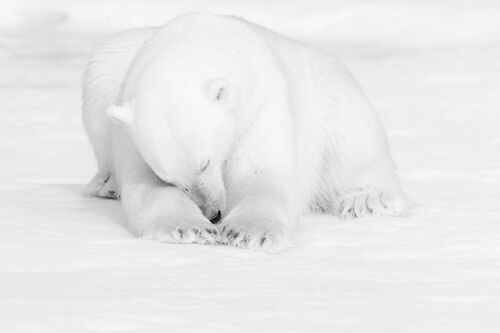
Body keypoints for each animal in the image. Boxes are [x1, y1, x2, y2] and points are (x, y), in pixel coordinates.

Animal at [83, 13, 410, 252]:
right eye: (171, 177)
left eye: (206, 162)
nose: (213, 213)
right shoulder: (128, 127)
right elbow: (145, 185)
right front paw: (190, 228)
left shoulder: (262, 107)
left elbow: (262, 174)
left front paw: (248, 232)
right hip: (106, 70)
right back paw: (106, 184)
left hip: (336, 96)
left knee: (356, 144)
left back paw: (368, 199)